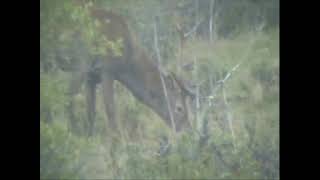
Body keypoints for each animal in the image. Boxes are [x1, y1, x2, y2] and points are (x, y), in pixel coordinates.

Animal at [58, 1, 195, 137]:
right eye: (179, 108)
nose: (188, 130)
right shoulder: (106, 68)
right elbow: (110, 111)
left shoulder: (92, 76)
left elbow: (91, 113)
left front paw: (89, 137)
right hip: (80, 57)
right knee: (68, 98)